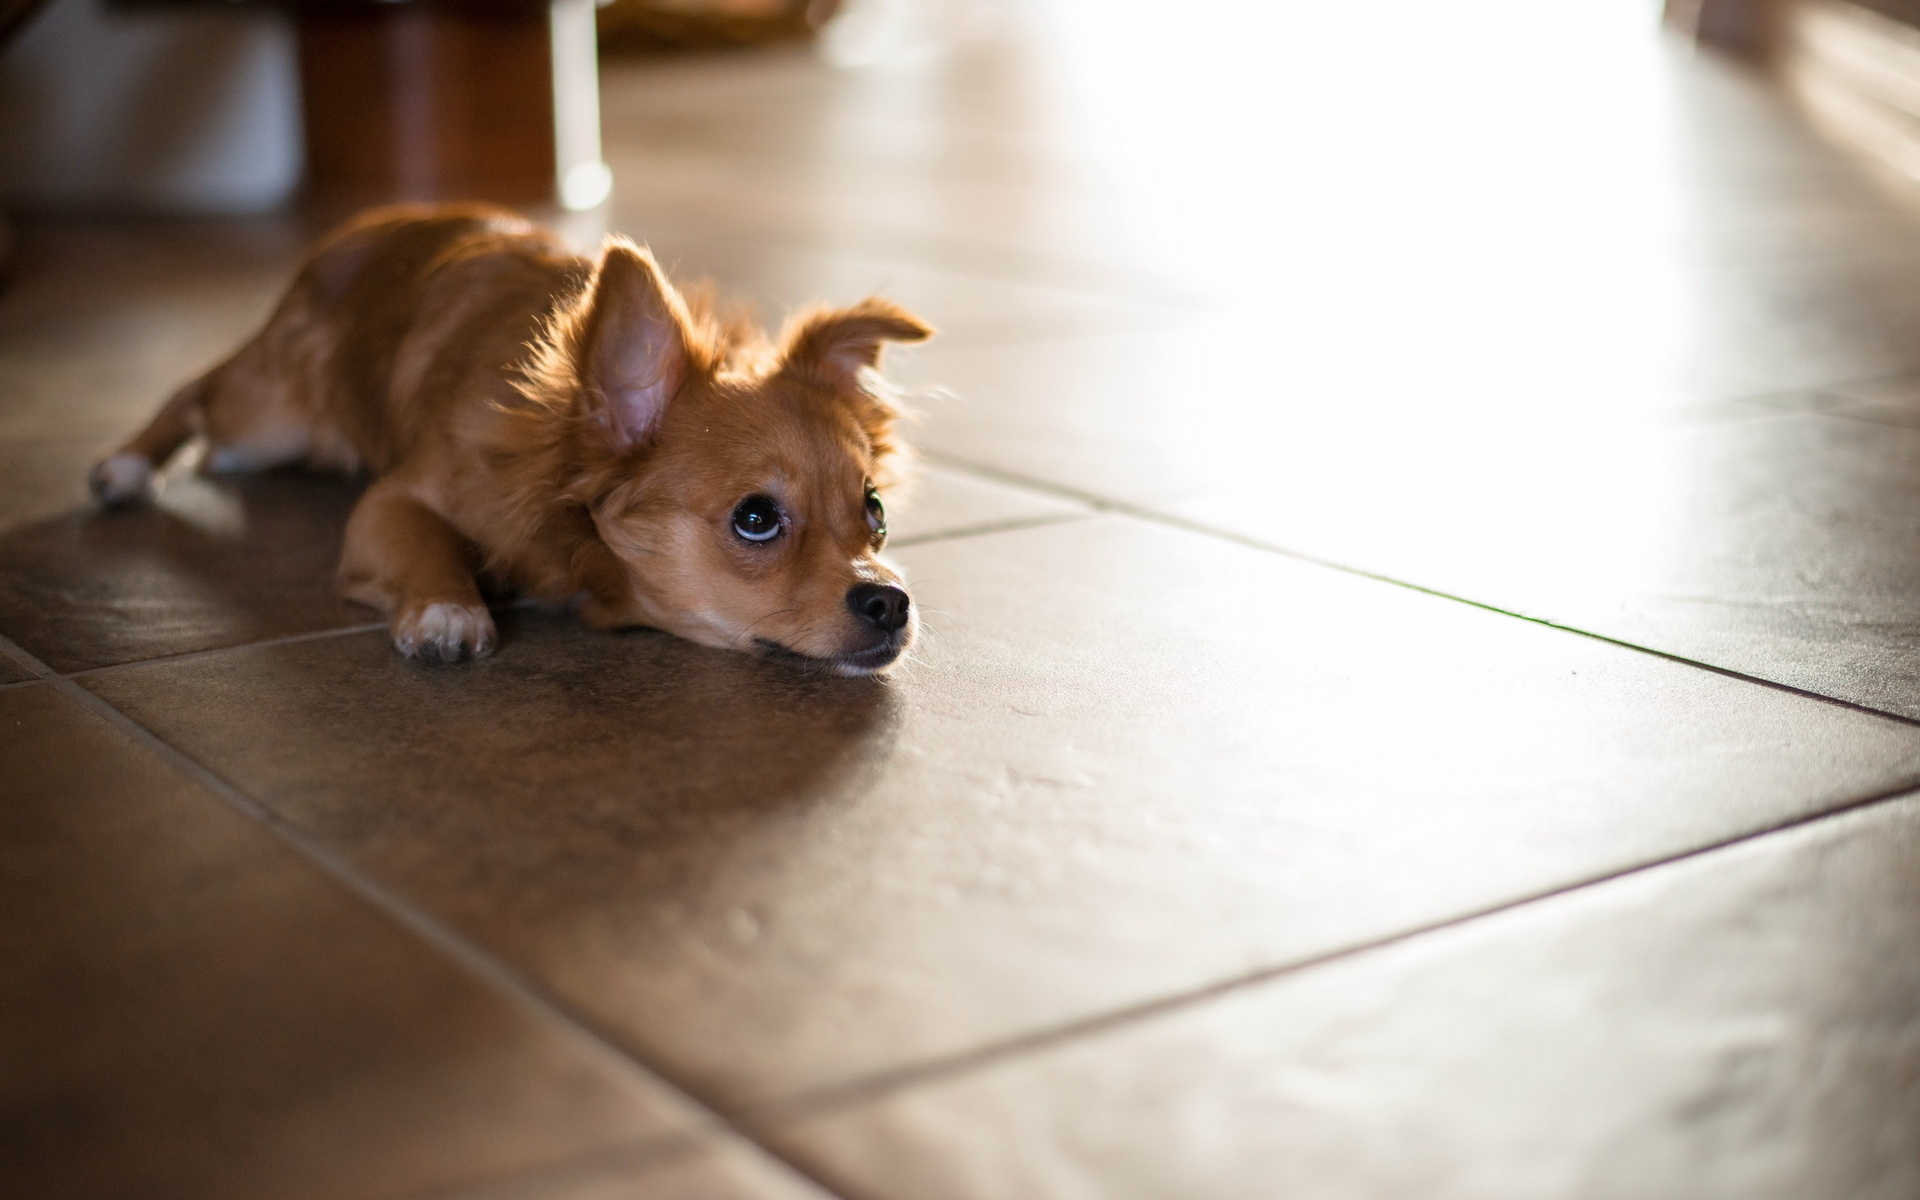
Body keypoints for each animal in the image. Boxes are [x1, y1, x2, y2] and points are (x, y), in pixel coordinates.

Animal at [93, 205, 933, 675]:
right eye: (755, 519)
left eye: (876, 512)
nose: (891, 601)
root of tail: (356, 232)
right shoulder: (391, 503)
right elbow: (425, 544)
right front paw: (448, 611)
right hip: (271, 413)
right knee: (196, 389)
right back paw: (123, 466)